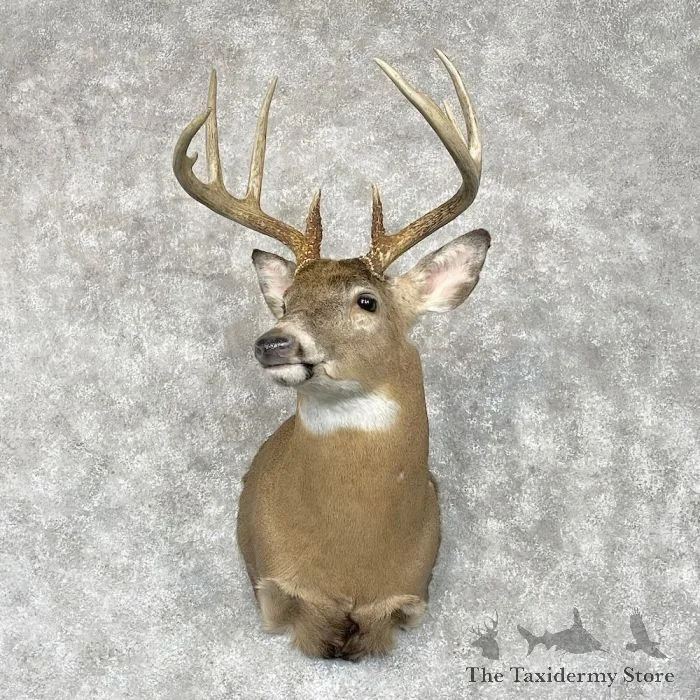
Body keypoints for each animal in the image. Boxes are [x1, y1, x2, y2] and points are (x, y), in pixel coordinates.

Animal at [173, 49, 490, 660]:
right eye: (287, 300)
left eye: (367, 301)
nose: (273, 342)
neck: (349, 565)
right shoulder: (275, 588)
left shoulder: (410, 594)